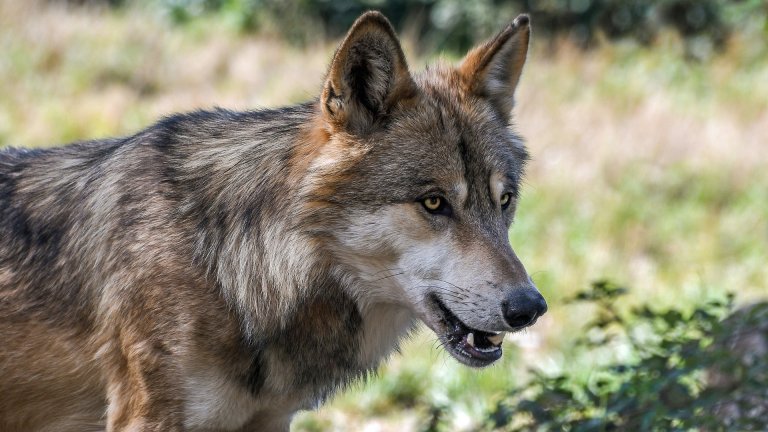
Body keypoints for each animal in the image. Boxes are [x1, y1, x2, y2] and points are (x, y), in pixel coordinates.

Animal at [0, 11, 546, 431]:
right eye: (434, 203)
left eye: (504, 201)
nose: (530, 307)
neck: (230, 267)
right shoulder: (147, 418)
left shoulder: (270, 420)